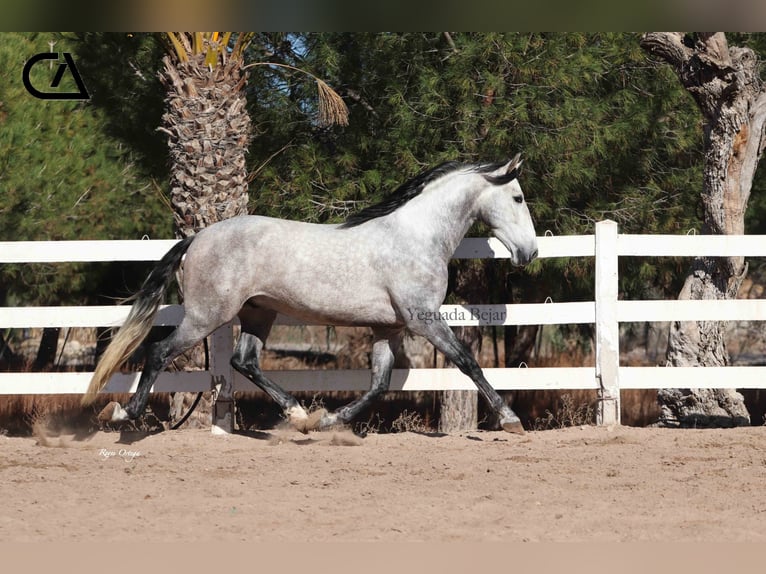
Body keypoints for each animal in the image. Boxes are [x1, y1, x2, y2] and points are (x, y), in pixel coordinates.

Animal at [82, 155, 540, 434]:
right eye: (518, 197)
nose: (530, 253)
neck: (415, 237)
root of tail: (197, 237)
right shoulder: (423, 319)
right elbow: (468, 362)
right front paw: (510, 418)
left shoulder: (388, 328)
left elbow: (379, 384)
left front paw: (330, 421)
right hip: (206, 316)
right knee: (159, 352)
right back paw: (124, 413)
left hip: (257, 313)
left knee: (244, 361)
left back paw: (300, 412)